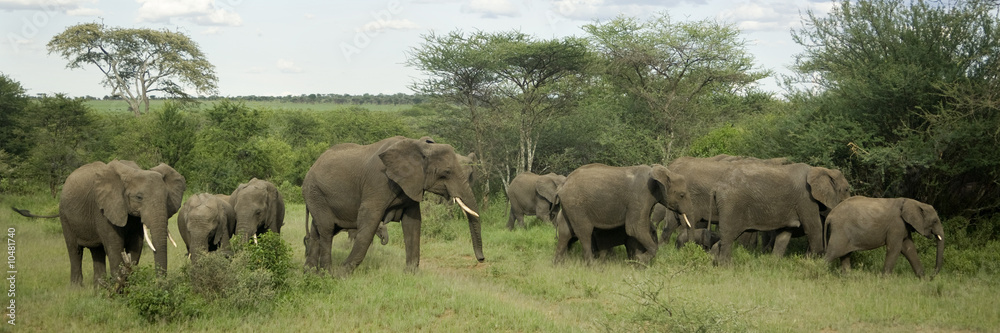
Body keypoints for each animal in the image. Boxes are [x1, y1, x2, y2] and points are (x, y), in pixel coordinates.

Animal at [16, 160, 186, 284]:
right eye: (139, 197)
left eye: (167, 197)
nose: (161, 285)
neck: (132, 172)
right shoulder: (103, 209)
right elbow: (115, 245)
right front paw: (121, 290)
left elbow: (136, 245)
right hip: (65, 215)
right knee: (74, 250)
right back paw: (77, 289)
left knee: (96, 252)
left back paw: (100, 288)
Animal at [302, 136, 482, 274]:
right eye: (446, 173)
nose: (481, 258)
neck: (418, 146)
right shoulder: (378, 183)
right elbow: (369, 219)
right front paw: (342, 274)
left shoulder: (411, 185)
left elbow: (412, 223)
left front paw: (410, 274)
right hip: (315, 192)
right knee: (326, 229)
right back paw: (327, 273)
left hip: (317, 196)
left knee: (317, 230)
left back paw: (310, 273)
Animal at [552, 162, 692, 264]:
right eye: (681, 195)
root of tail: (563, 183)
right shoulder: (641, 195)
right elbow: (634, 228)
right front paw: (640, 260)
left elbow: (640, 228)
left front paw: (637, 260)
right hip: (577, 204)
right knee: (584, 232)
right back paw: (592, 265)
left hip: (569, 205)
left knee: (565, 232)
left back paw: (558, 264)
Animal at [712, 162, 852, 264]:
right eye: (846, 189)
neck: (821, 170)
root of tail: (717, 187)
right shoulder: (806, 199)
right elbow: (814, 228)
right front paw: (814, 260)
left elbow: (784, 235)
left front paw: (774, 263)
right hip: (731, 205)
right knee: (728, 236)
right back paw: (726, 266)